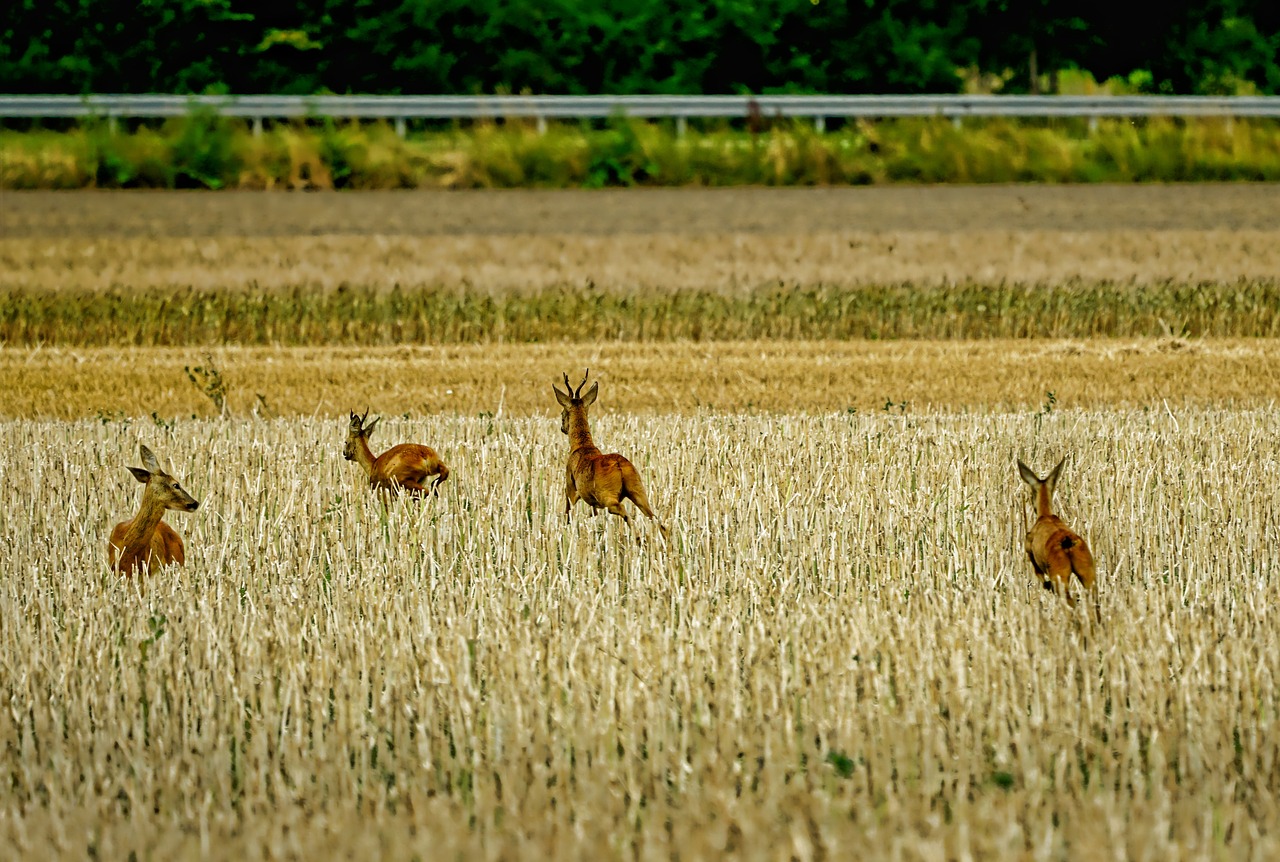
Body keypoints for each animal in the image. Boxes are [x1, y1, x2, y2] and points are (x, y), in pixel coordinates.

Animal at [552, 368, 670, 540]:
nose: (562, 427)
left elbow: (568, 509)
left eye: (563, 413)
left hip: (607, 494)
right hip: (638, 490)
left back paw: (637, 537)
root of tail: (620, 466)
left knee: (623, 511)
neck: (582, 445)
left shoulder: (571, 487)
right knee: (657, 521)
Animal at [1018, 455, 1100, 619]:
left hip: (1058, 574)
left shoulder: (1031, 554)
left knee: (1070, 601)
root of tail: (1066, 543)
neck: (1045, 515)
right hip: (1087, 570)